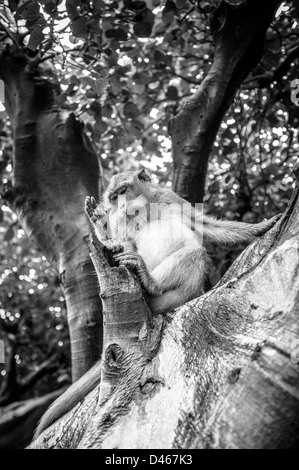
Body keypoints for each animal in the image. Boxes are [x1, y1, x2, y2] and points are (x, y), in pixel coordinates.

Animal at [35, 169, 282, 436]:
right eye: (113, 198)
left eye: (123, 191)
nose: (120, 205)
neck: (146, 210)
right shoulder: (120, 220)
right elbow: (122, 241)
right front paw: (101, 227)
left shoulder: (170, 197)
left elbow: (204, 225)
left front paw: (261, 226)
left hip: (182, 292)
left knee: (193, 252)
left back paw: (150, 281)